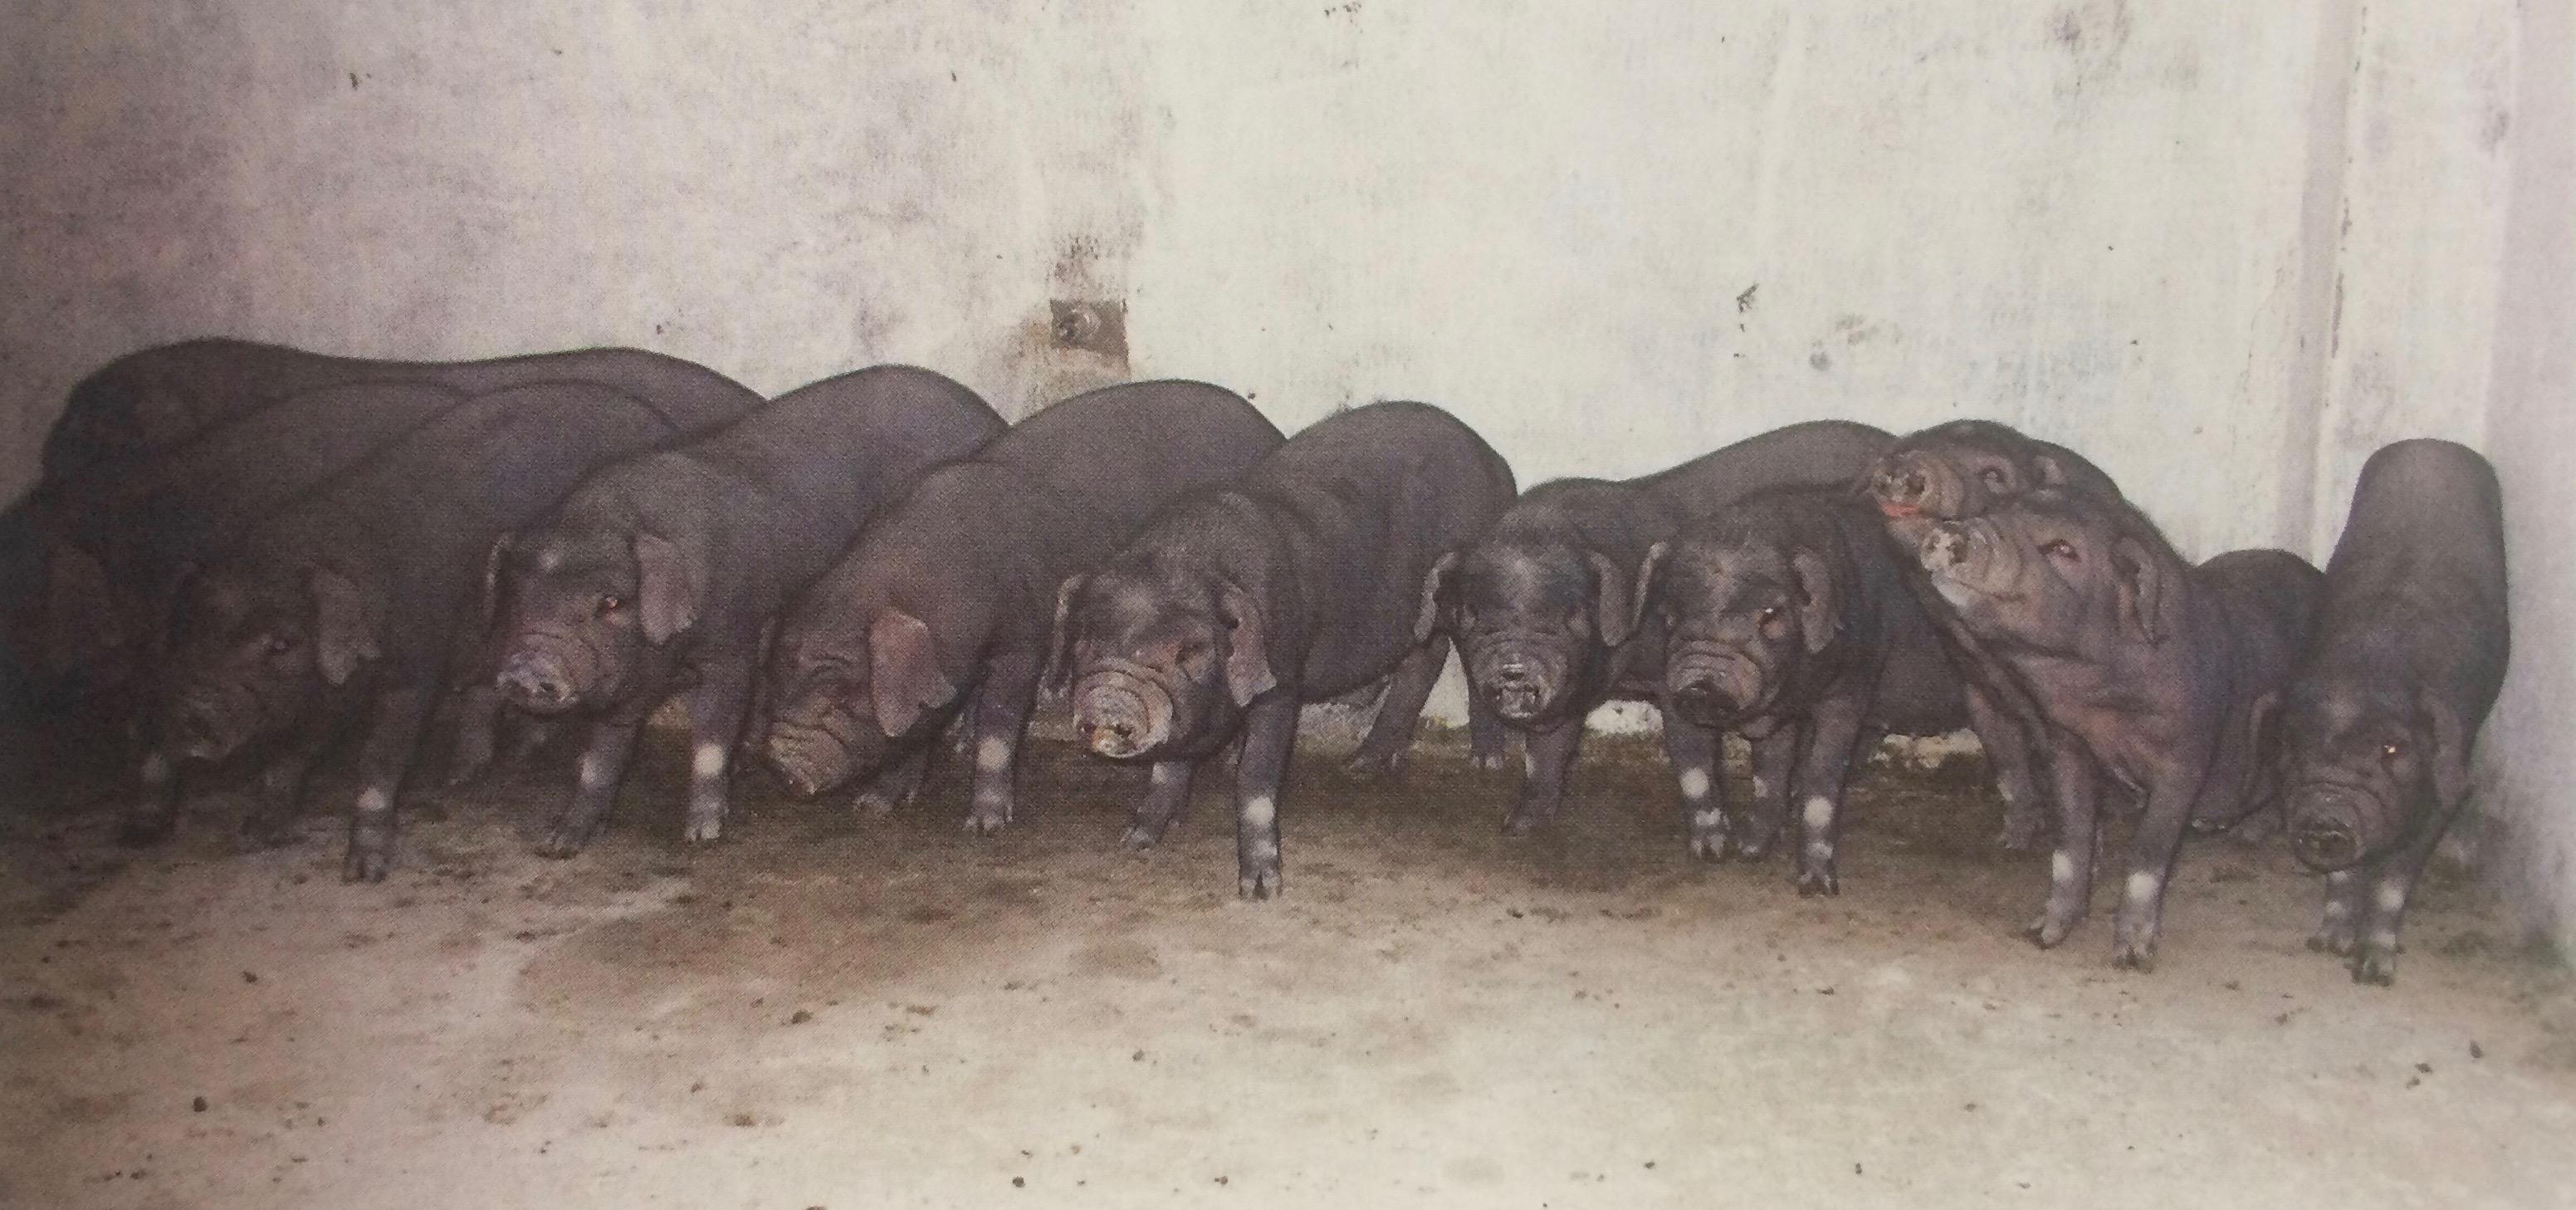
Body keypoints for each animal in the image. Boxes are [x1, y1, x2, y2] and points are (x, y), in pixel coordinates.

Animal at [484, 363, 1004, 855]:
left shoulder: (732, 640)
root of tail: (985, 411)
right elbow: (603, 753)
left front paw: (703, 835)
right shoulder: (623, 674)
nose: (525, 671)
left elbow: (712, 735)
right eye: (519, 596)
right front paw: (560, 843)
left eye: (610, 601)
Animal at [757, 380, 1288, 834]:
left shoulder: (1023, 638)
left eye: (842, 698)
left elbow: (1001, 721)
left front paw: (984, 826)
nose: (782, 770)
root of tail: (1267, 424)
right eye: (778, 679)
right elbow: (916, 727)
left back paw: (1229, 763)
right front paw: (872, 807)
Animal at [1056, 401, 1514, 890]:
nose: (1111, 698)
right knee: (1424, 658)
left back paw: (1485, 764)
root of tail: (1495, 459)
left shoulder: (1283, 674)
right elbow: (1168, 767)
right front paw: (1136, 840)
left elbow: (1257, 777)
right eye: (1085, 638)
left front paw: (1261, 889)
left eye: (1189, 651)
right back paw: (1362, 765)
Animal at [2266, 440, 2504, 988]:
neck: (2367, 665)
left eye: (2393, 747)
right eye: (2293, 742)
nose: (2327, 815)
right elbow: (2344, 875)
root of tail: (2430, 442)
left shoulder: (2450, 779)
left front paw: (2375, 971)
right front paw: (2326, 946)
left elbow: (2395, 880)